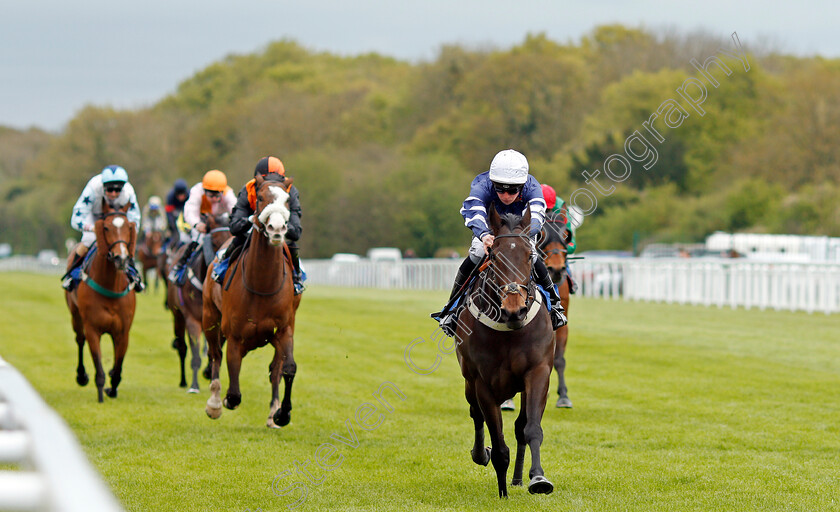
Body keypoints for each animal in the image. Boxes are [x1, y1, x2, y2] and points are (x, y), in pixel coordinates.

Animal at [64, 198, 136, 402]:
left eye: (129, 226)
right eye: (105, 227)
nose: (121, 258)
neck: (110, 285)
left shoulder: (123, 331)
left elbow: (118, 366)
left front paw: (113, 388)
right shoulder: (92, 329)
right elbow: (98, 367)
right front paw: (102, 394)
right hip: (75, 314)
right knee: (79, 340)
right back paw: (81, 376)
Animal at [166, 212, 231, 392]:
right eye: (214, 241)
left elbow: (216, 349)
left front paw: (209, 373)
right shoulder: (192, 319)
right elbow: (195, 353)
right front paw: (194, 386)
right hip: (178, 316)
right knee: (182, 347)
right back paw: (183, 381)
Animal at [201, 175, 302, 428]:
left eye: (287, 200)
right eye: (262, 198)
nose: (277, 228)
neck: (262, 284)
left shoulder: (284, 329)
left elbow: (288, 368)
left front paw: (282, 413)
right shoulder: (235, 335)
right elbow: (234, 392)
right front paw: (222, 401)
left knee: (275, 369)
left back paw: (273, 411)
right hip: (209, 317)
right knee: (215, 355)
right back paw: (214, 402)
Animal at [456, 203, 556, 496]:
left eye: (529, 257)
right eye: (496, 257)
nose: (515, 309)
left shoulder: (538, 371)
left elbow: (531, 429)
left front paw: (538, 478)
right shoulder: (482, 383)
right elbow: (498, 443)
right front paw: (502, 493)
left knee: (520, 426)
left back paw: (519, 478)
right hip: (468, 381)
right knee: (475, 413)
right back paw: (482, 455)